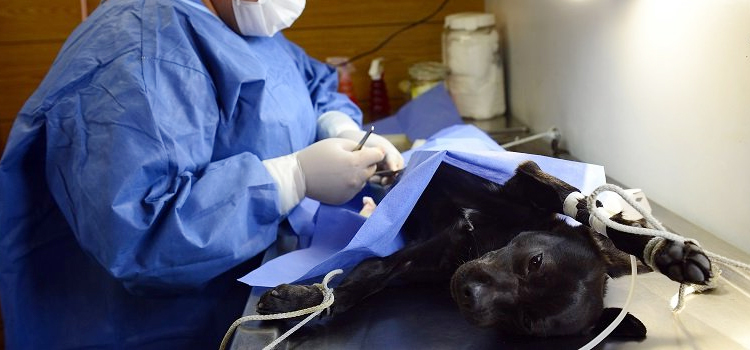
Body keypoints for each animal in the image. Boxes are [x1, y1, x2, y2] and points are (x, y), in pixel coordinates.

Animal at [258, 161, 712, 340]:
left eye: (526, 323)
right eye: (534, 261)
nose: (467, 294)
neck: (486, 239)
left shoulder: (413, 262)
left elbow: (362, 281)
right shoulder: (527, 178)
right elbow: (585, 207)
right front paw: (668, 253)